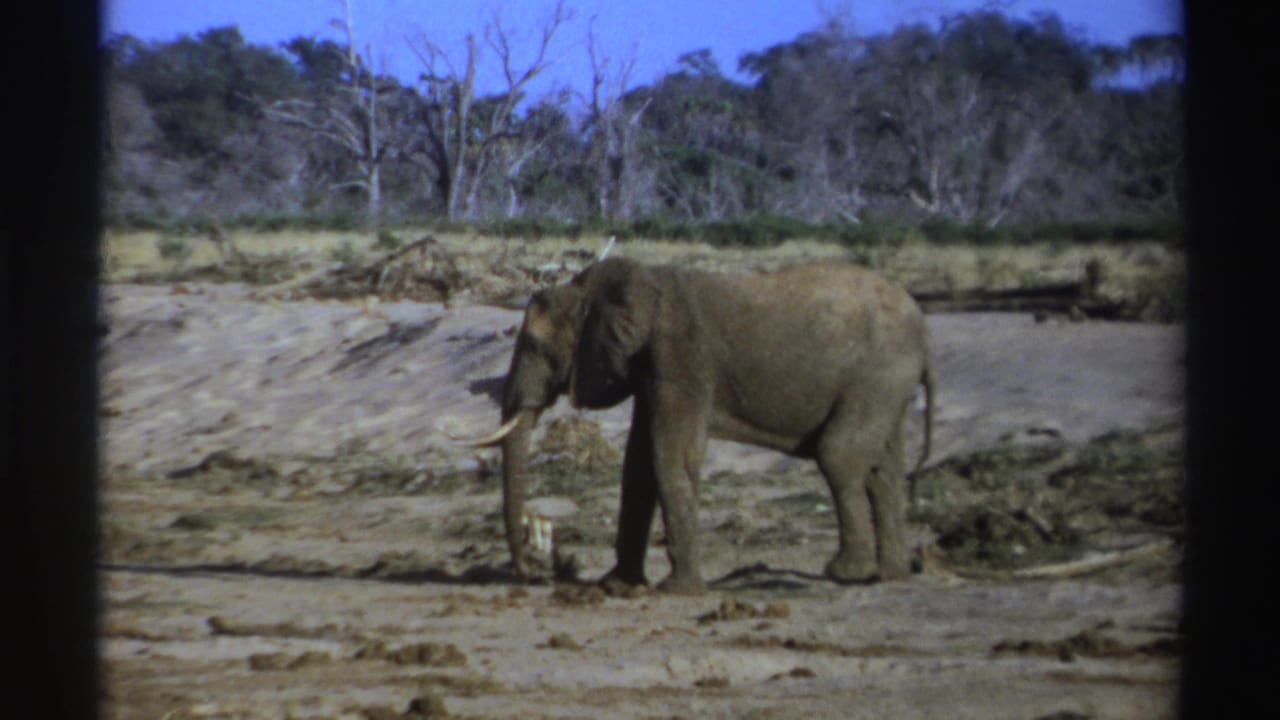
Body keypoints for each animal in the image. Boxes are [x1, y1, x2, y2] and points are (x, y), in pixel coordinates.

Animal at [456, 256, 934, 595]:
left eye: (536, 345)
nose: (536, 574)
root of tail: (922, 326)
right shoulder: (649, 367)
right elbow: (639, 463)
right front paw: (618, 585)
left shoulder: (678, 356)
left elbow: (670, 455)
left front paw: (678, 590)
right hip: (886, 383)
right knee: (883, 470)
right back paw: (891, 575)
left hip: (876, 376)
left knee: (838, 456)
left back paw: (845, 573)